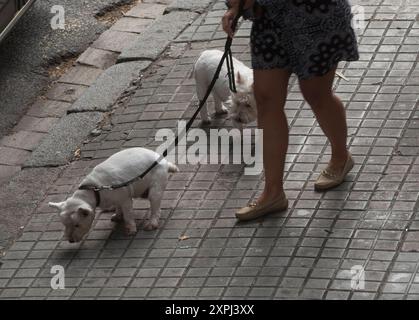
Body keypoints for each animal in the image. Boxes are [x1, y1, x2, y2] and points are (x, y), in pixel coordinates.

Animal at [48, 148, 178, 242]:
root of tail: (164, 162)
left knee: (155, 205)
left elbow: (128, 215)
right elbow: (118, 207)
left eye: (77, 225)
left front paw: (130, 229)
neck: (93, 189)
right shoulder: (117, 198)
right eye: (65, 225)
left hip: (155, 186)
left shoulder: (125, 199)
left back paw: (152, 223)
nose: (70, 240)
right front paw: (117, 215)